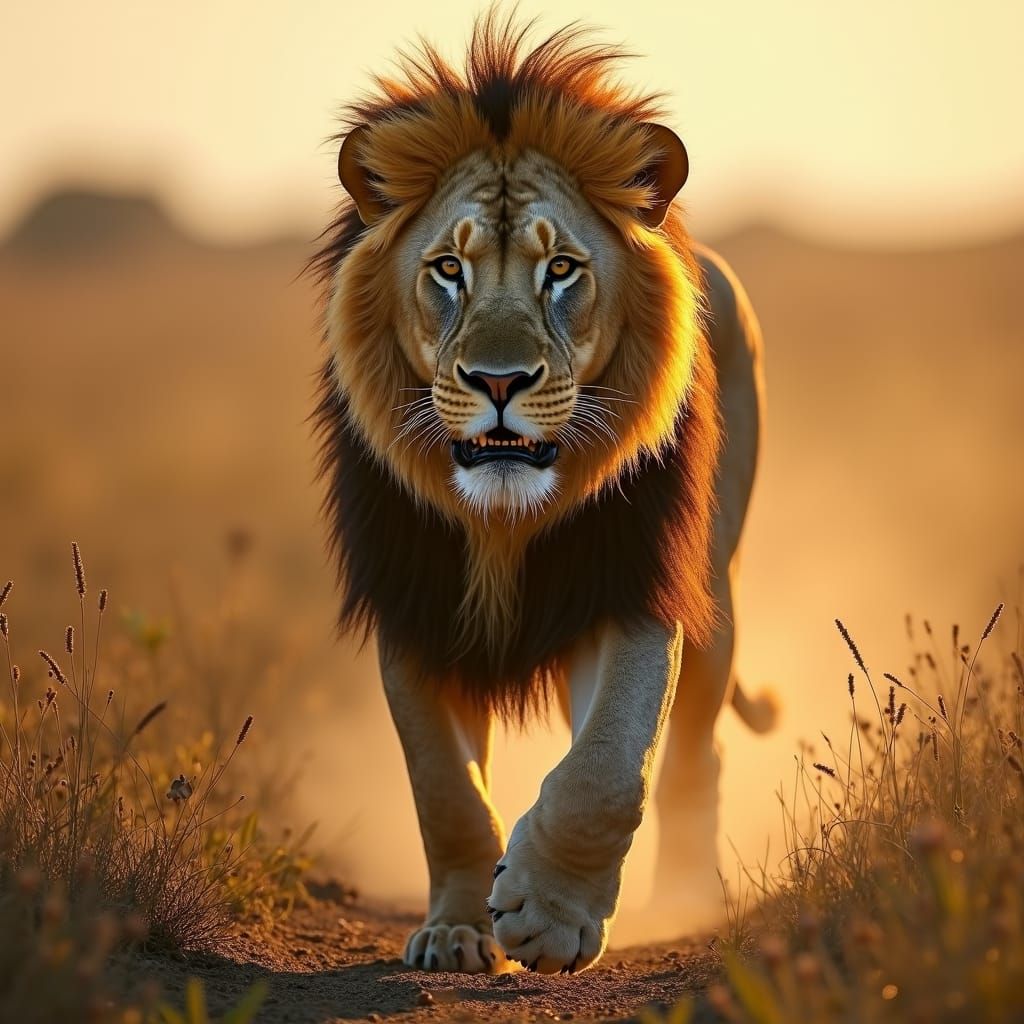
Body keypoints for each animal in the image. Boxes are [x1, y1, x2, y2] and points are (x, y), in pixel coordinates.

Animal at [311, 12, 776, 975]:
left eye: (561, 269)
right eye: (447, 270)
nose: (498, 381)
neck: (501, 519)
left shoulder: (637, 583)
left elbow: (609, 765)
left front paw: (551, 915)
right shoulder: (413, 603)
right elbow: (444, 789)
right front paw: (458, 929)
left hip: (716, 599)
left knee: (695, 757)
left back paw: (684, 900)